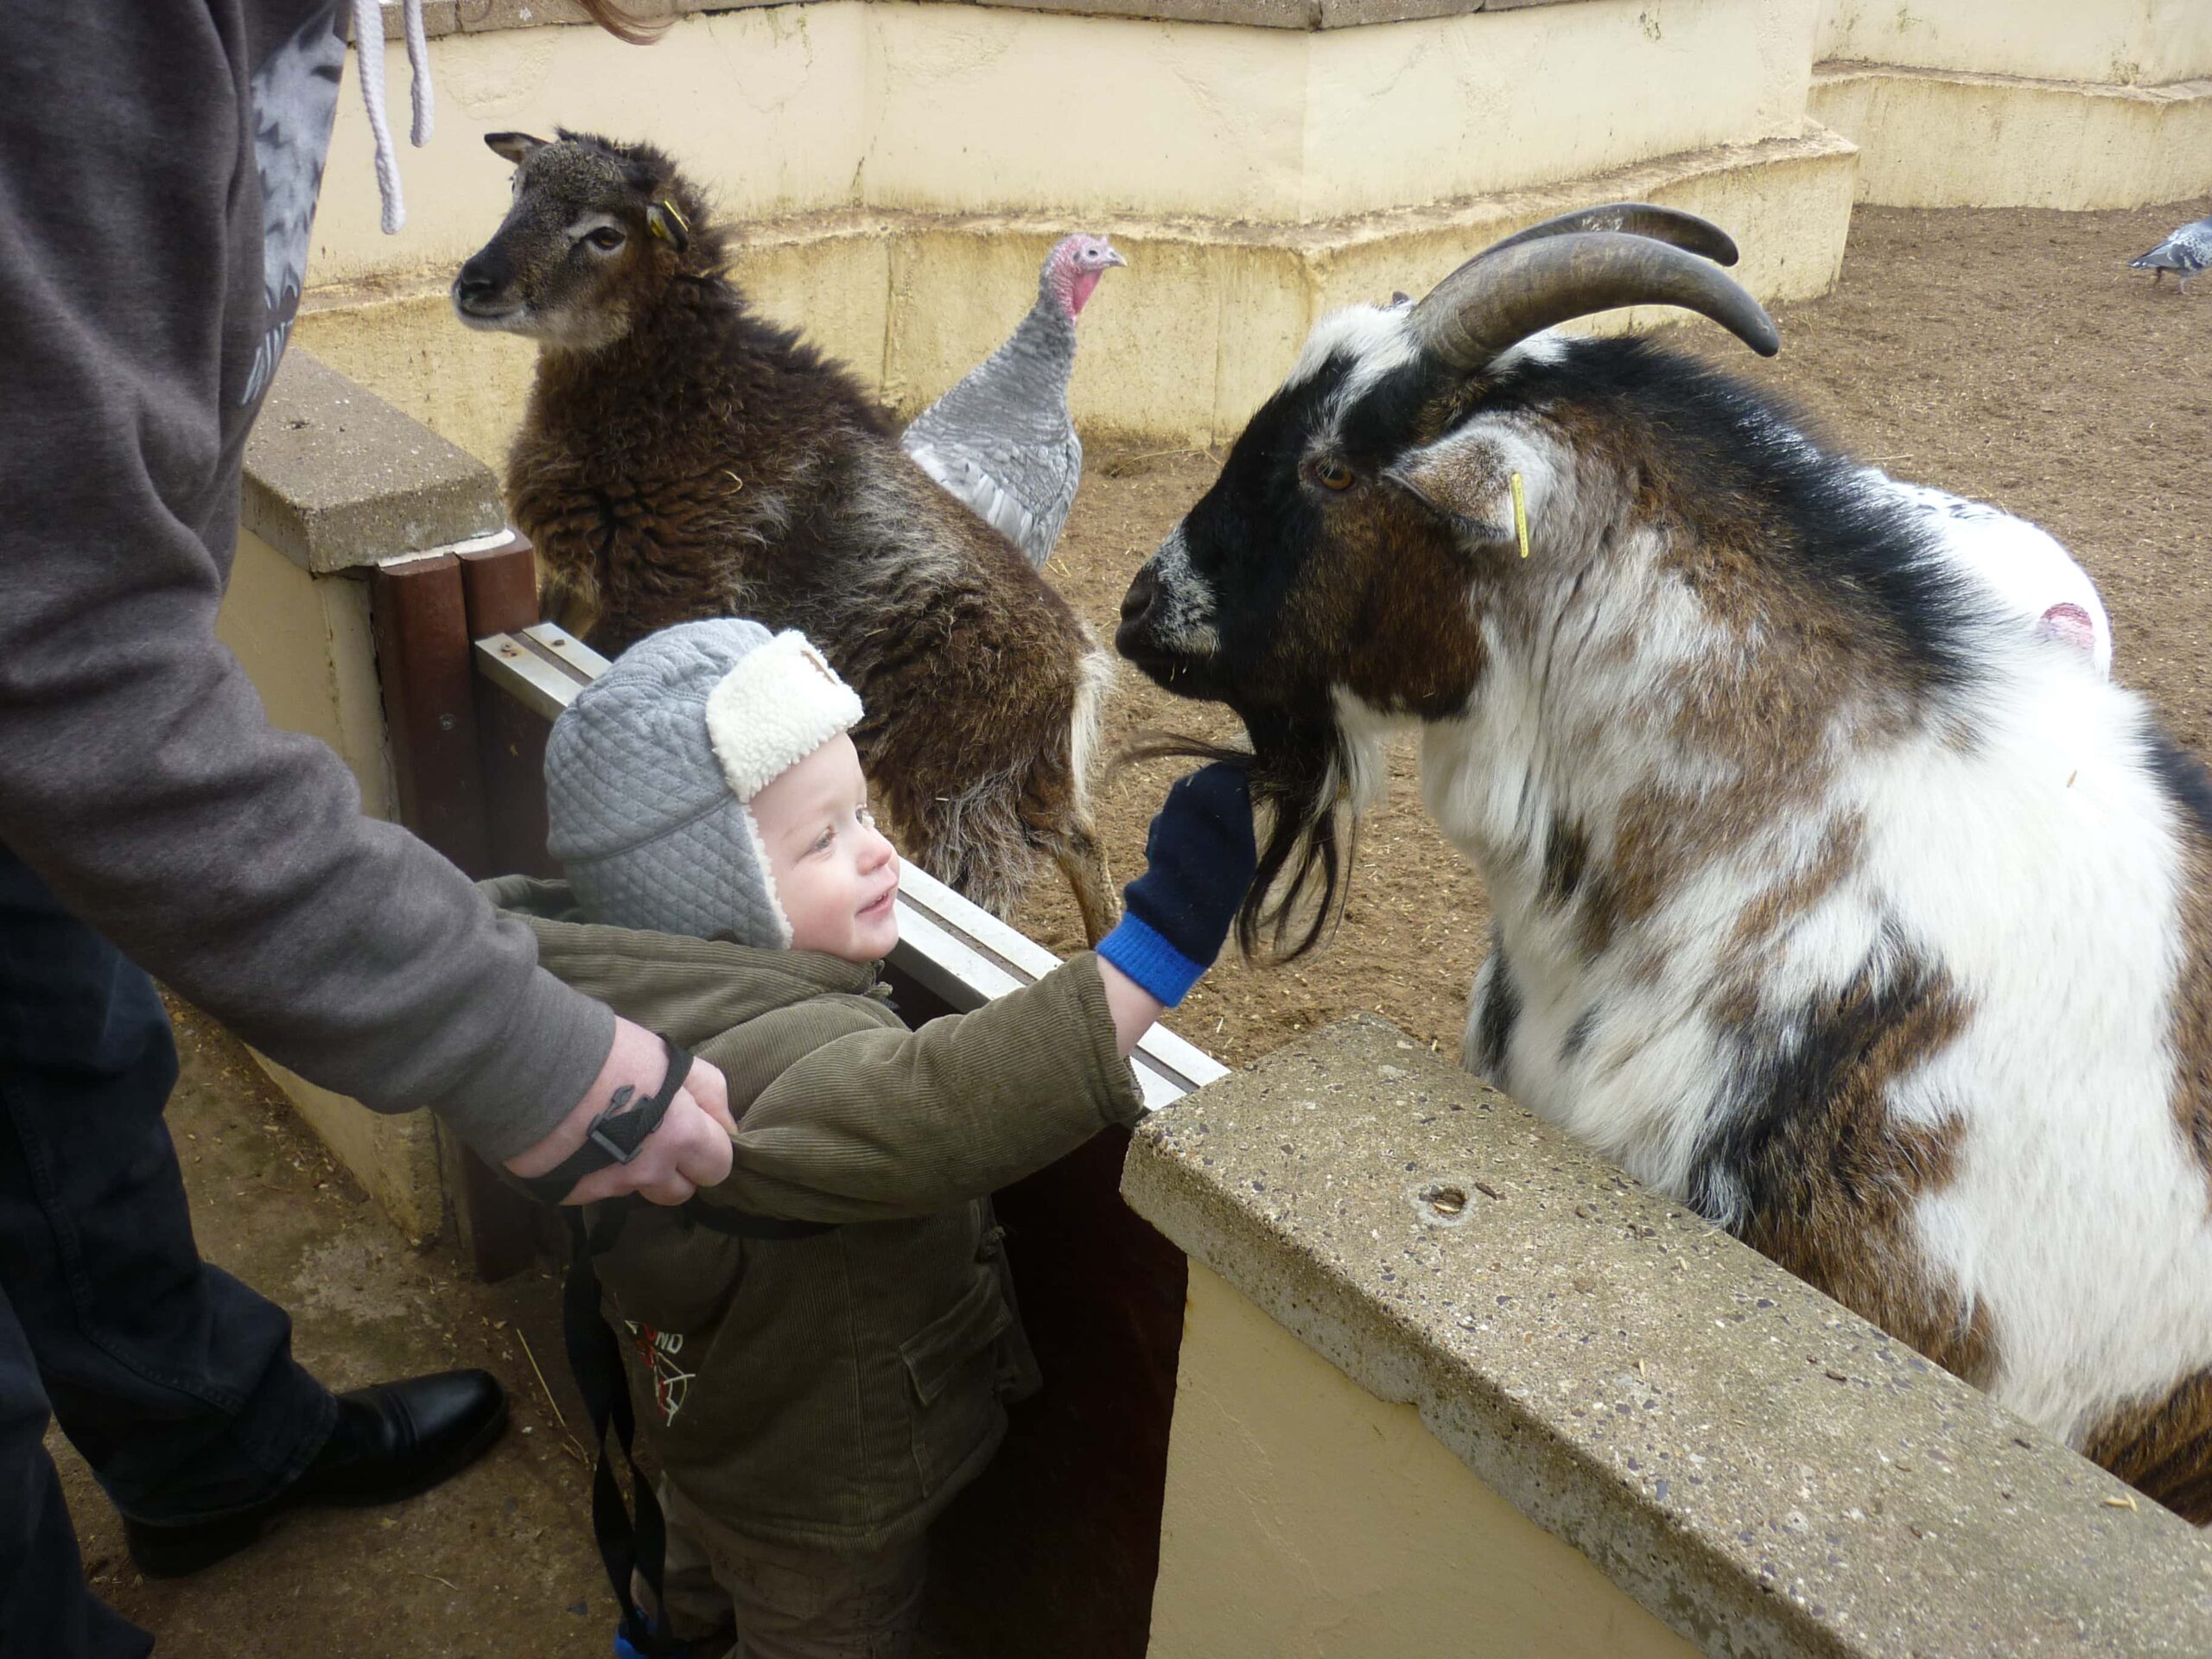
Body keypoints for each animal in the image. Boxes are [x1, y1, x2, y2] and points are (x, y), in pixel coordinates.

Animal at [448, 135, 1115, 942]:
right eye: (517, 189)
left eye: (605, 234)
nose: (474, 284)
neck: (690, 402)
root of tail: (1076, 662)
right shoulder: (579, 583)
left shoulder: (660, 599)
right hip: (1022, 767)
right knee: (1079, 839)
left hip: (959, 781)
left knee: (989, 888)